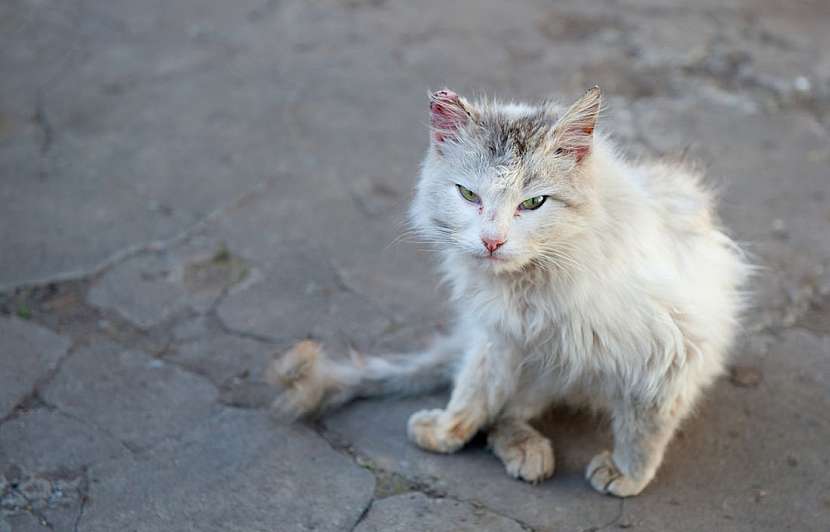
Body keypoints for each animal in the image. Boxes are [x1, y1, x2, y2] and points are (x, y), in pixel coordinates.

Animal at [268, 85, 752, 496]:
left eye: (534, 203)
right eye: (468, 195)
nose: (492, 241)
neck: (532, 282)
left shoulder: (671, 351)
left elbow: (644, 426)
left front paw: (627, 473)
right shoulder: (497, 335)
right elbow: (472, 391)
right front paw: (446, 431)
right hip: (535, 363)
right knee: (502, 413)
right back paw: (526, 452)